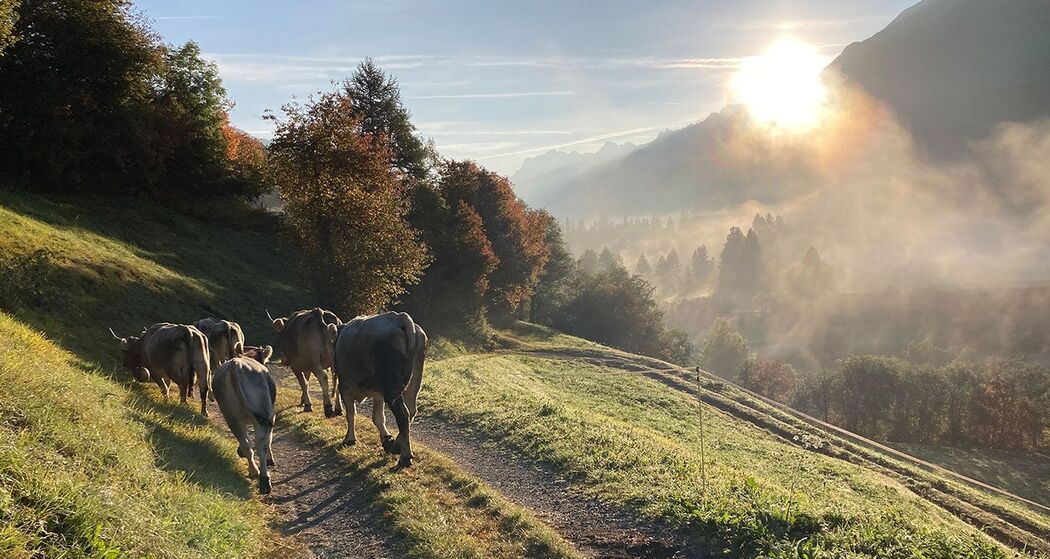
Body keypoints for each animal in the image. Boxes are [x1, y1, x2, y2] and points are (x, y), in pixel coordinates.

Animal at [212, 345, 277, 494]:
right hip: (264, 412)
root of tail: (235, 365)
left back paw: (256, 474)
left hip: (230, 416)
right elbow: (269, 439)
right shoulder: (271, 414)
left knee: (246, 443)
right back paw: (262, 477)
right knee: (261, 444)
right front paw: (270, 459)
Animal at [327, 311, 427, 469]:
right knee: (411, 411)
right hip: (414, 381)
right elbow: (378, 417)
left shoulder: (345, 387)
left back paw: (405, 457)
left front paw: (350, 438)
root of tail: (399, 317)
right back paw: (398, 445)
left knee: (403, 415)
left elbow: (351, 414)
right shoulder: (377, 393)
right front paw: (387, 439)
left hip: (391, 388)